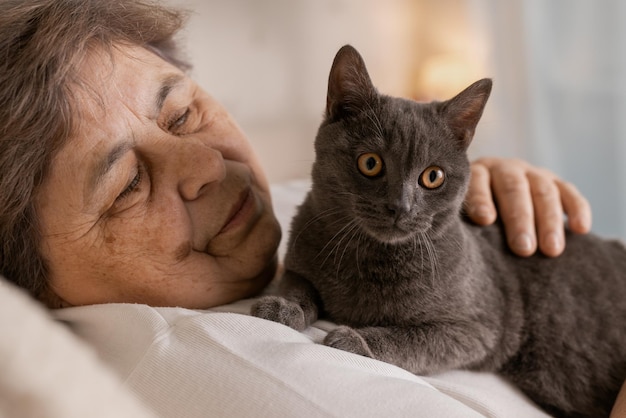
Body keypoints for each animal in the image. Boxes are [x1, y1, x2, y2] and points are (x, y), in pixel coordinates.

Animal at [251, 45, 624, 418]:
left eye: (433, 176)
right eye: (370, 163)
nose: (400, 206)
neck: (371, 258)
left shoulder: (475, 330)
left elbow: (411, 340)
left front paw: (355, 340)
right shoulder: (299, 259)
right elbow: (299, 285)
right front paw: (283, 307)